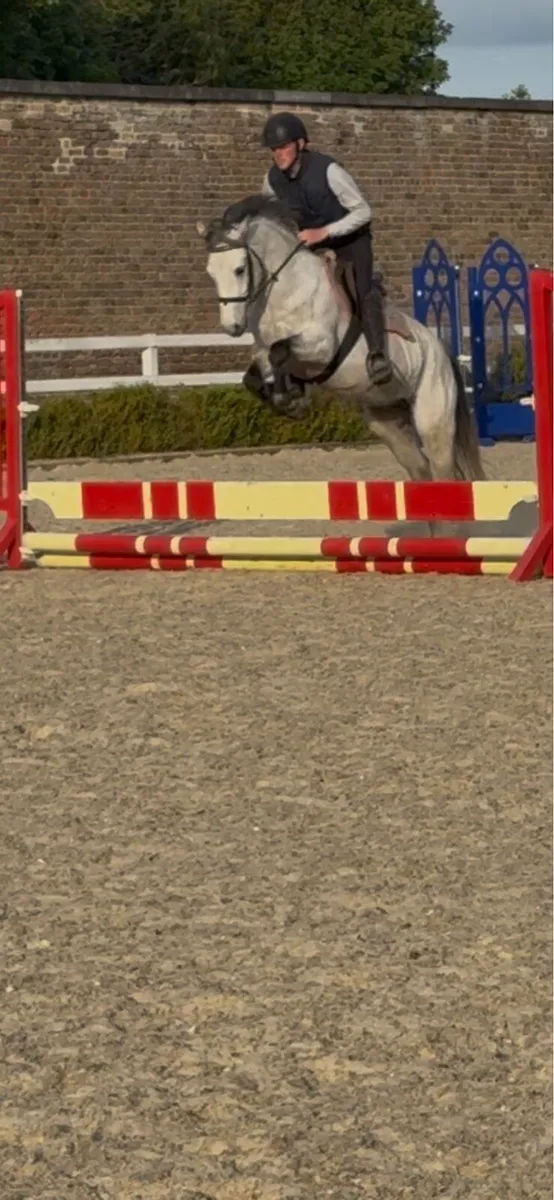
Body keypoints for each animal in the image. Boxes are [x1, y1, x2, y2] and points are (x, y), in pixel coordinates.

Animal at [197, 194, 484, 487]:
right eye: (210, 272)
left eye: (240, 269)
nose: (232, 327)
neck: (286, 290)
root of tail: (441, 351)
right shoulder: (264, 353)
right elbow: (254, 375)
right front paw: (290, 401)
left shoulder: (321, 347)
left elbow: (280, 351)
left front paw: (288, 399)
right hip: (388, 421)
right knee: (420, 469)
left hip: (433, 422)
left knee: (442, 469)